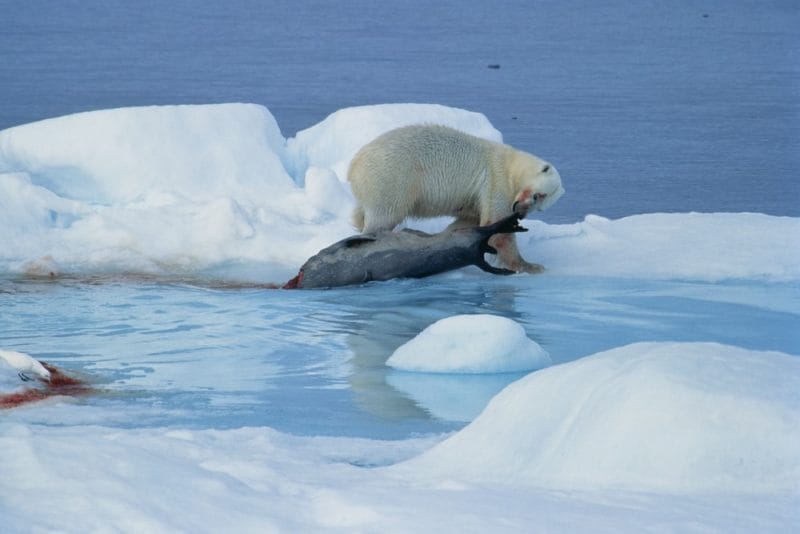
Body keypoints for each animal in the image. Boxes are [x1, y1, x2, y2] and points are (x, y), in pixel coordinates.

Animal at [348, 124, 564, 273]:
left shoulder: (475, 200)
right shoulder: (497, 180)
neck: (512, 164)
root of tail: (354, 165)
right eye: (537, 195)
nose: (521, 211)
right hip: (392, 177)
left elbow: (467, 223)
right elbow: (497, 227)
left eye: (540, 206)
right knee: (385, 214)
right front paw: (530, 266)